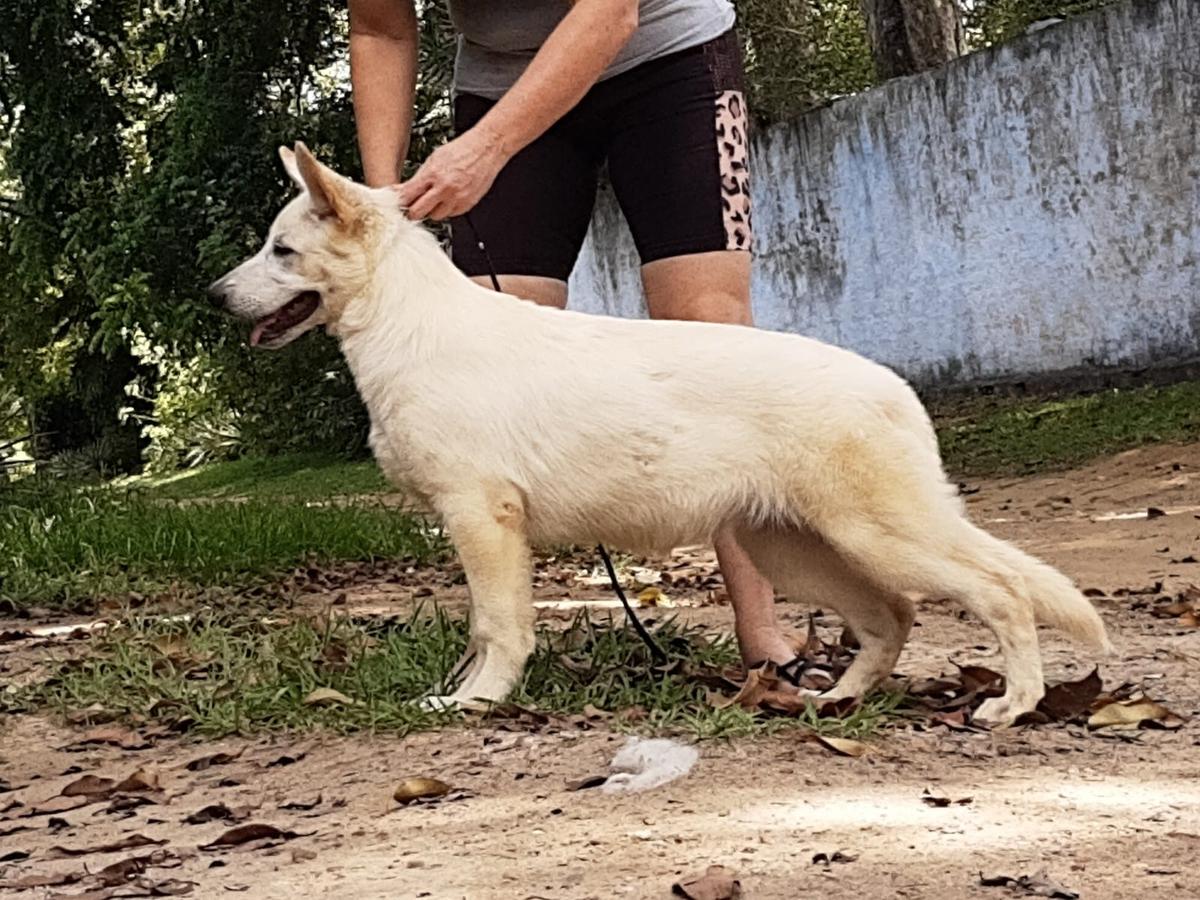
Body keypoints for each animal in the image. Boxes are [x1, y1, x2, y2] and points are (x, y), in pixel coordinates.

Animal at [204, 144, 1104, 729]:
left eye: (281, 250)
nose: (213, 296)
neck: (406, 321)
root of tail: (894, 388)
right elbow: (488, 626)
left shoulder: (481, 521)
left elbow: (498, 627)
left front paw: (475, 702)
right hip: (797, 547)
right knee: (893, 616)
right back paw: (840, 698)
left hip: (880, 534)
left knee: (1001, 591)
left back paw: (1013, 704)